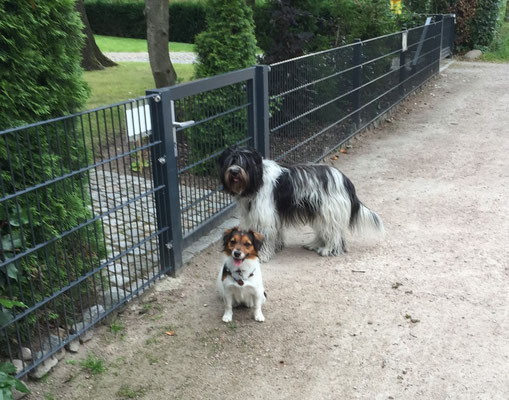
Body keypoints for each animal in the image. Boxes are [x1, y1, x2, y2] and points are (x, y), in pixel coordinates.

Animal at [217, 147, 380, 262]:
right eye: (231, 161)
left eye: (244, 163)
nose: (234, 171)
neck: (257, 179)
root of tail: (344, 179)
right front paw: (277, 246)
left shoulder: (265, 217)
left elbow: (264, 236)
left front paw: (261, 255)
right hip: (320, 212)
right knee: (325, 231)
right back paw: (314, 245)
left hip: (329, 212)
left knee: (334, 233)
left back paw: (328, 249)